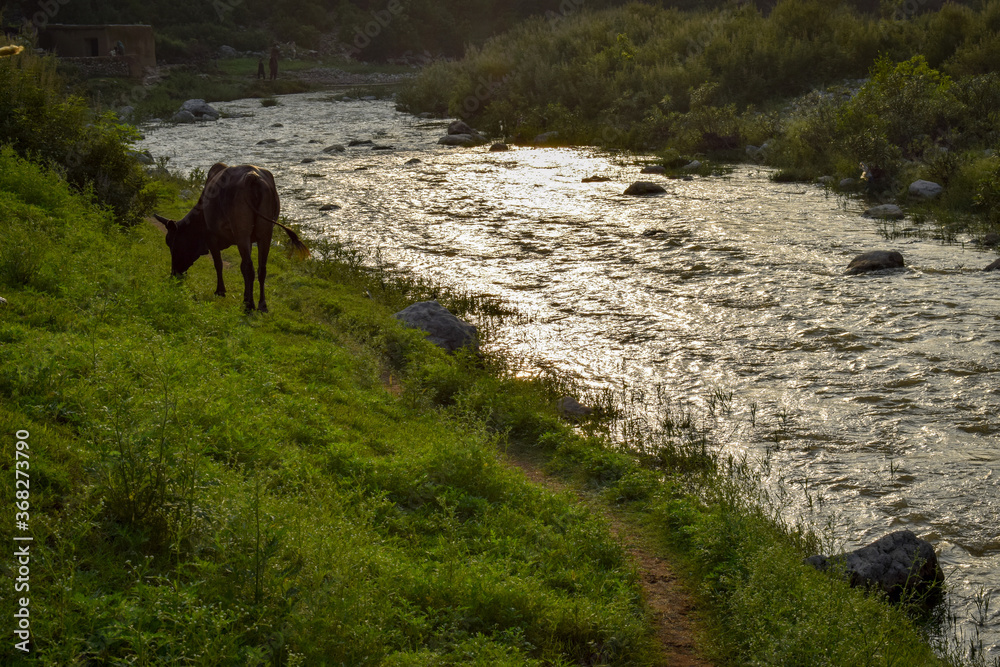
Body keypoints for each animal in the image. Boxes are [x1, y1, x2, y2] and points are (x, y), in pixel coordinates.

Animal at [154, 163, 308, 313]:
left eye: (171, 243)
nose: (174, 274)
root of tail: (252, 177)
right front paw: (244, 295)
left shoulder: (211, 237)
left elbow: (218, 264)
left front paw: (220, 291)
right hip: (265, 233)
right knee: (261, 268)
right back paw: (261, 305)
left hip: (242, 232)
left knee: (249, 267)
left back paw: (249, 305)